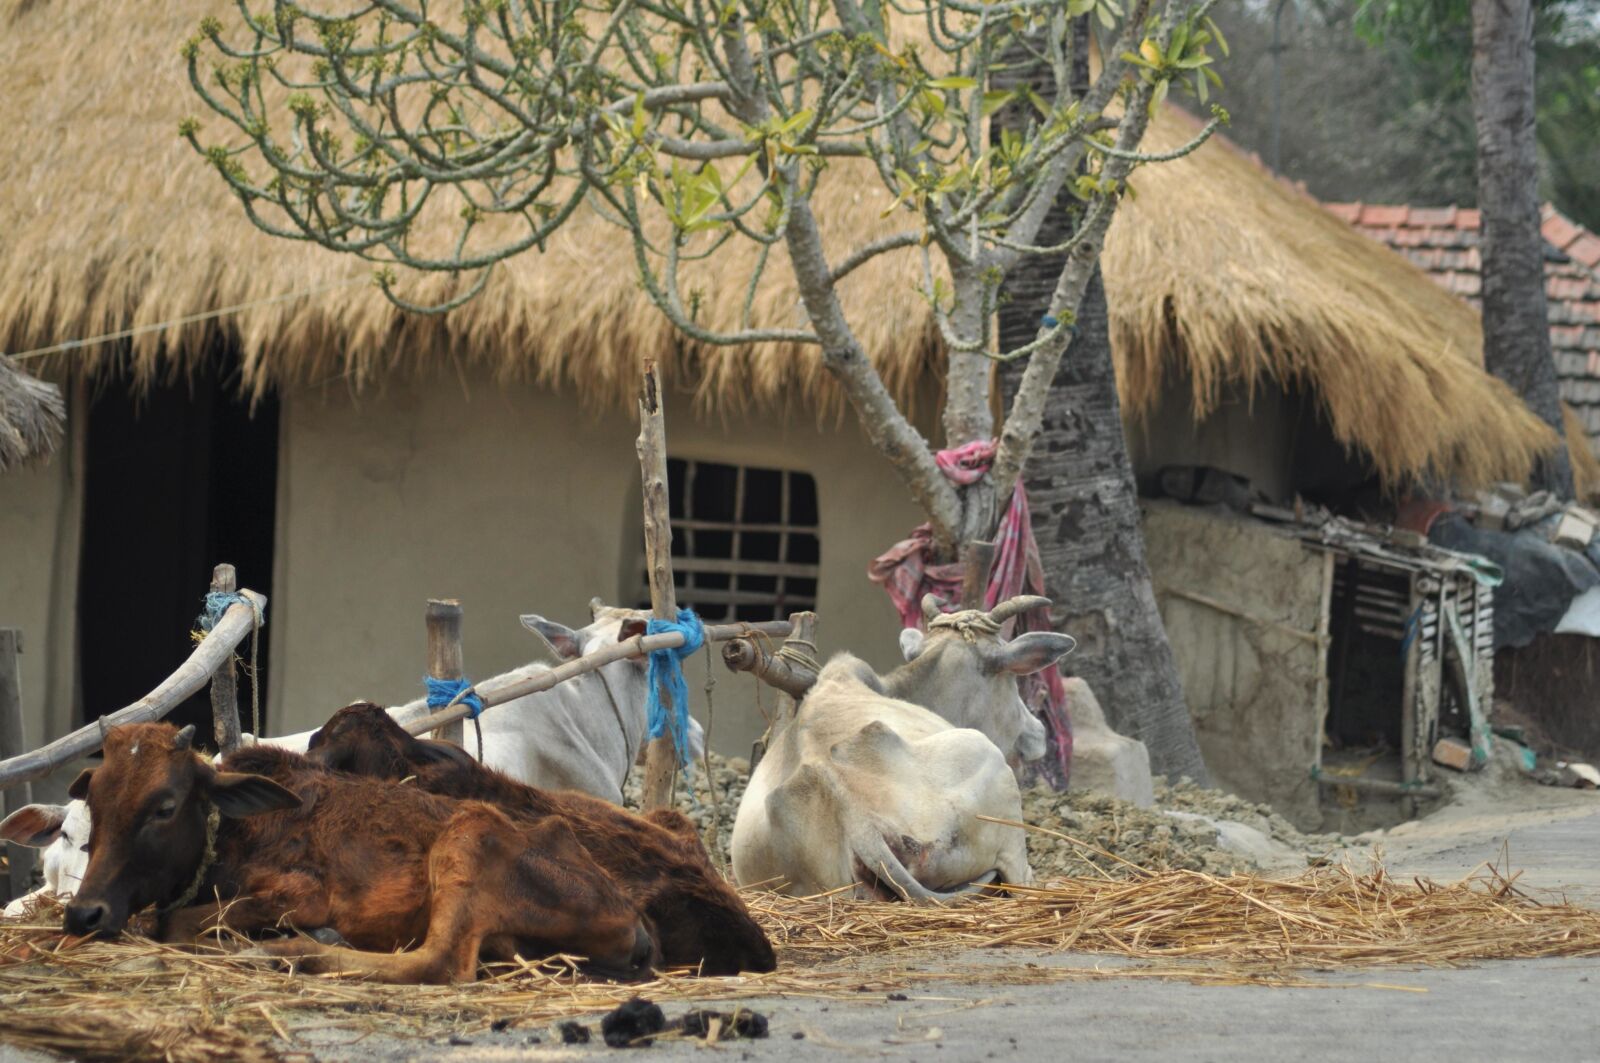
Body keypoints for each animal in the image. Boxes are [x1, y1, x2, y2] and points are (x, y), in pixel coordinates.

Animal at [62, 722, 655, 984]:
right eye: (93, 799)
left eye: (163, 806)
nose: (83, 913)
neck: (231, 830)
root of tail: (633, 917)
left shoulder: (303, 893)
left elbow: (173, 924)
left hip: (470, 834)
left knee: (439, 962)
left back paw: (293, 951)